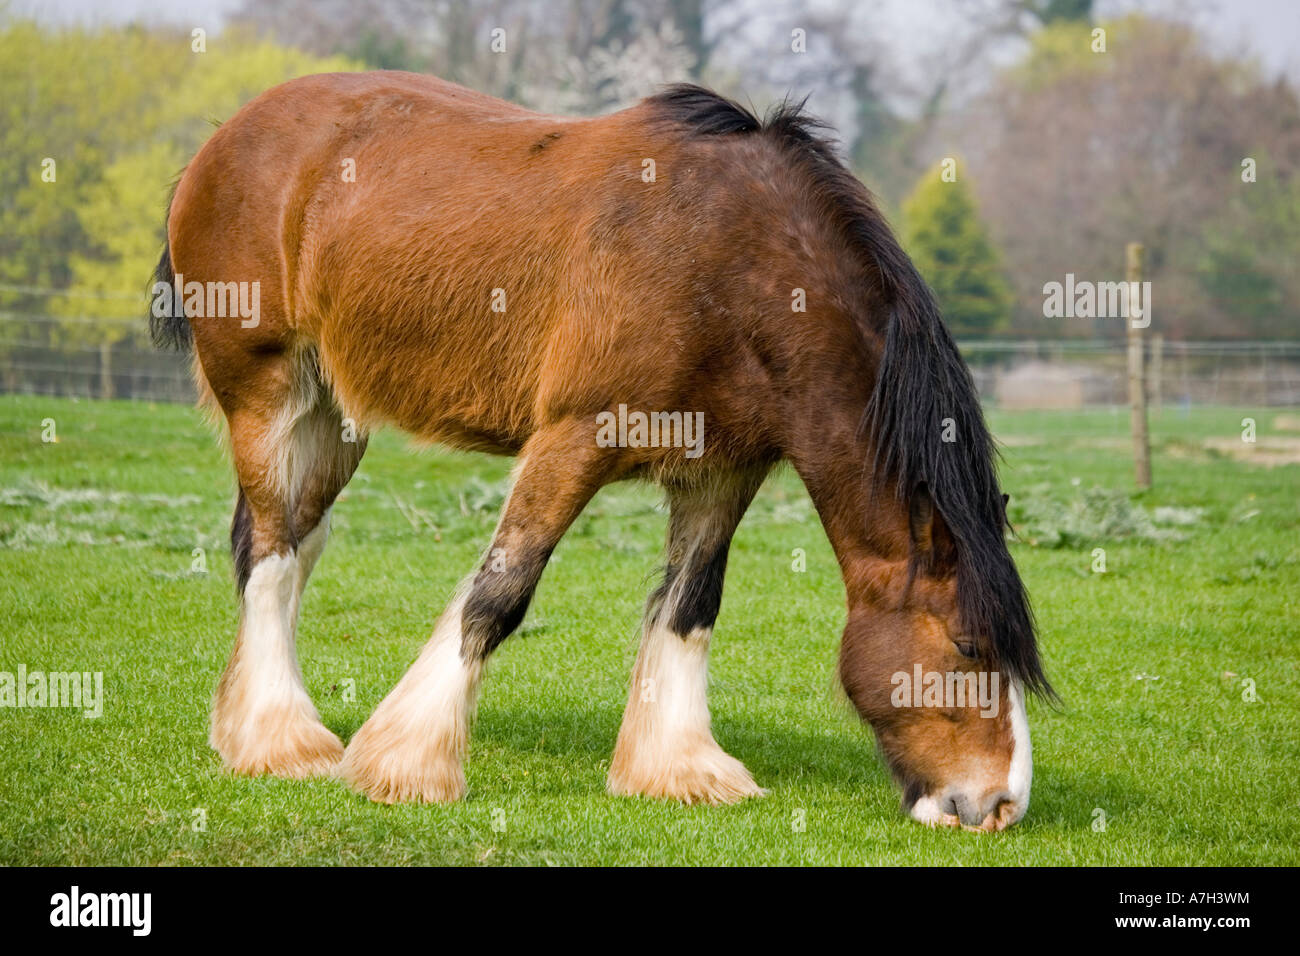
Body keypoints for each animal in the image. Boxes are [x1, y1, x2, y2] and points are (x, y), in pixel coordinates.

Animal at [152, 72, 1050, 832]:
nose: (998, 804)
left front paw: (677, 768)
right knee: (272, 553)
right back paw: (281, 740)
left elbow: (690, 606)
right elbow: (500, 593)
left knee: (285, 544)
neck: (731, 261)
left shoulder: (721, 470)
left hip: (333, 419)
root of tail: (224, 138)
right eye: (968, 647)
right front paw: (407, 762)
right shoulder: (574, 438)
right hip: (267, 394)